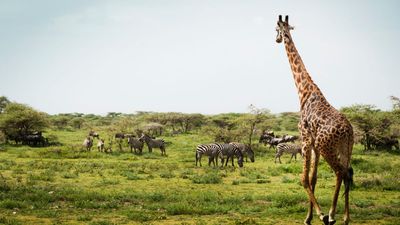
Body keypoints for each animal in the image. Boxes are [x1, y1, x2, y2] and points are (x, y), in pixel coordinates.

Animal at [276, 14, 354, 225]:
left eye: (276, 30)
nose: (276, 39)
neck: (304, 91)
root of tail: (348, 131)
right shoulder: (313, 144)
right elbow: (313, 179)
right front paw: (308, 217)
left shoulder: (305, 139)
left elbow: (304, 179)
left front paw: (320, 214)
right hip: (346, 149)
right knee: (348, 173)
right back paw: (346, 217)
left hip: (327, 147)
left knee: (339, 172)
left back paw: (332, 215)